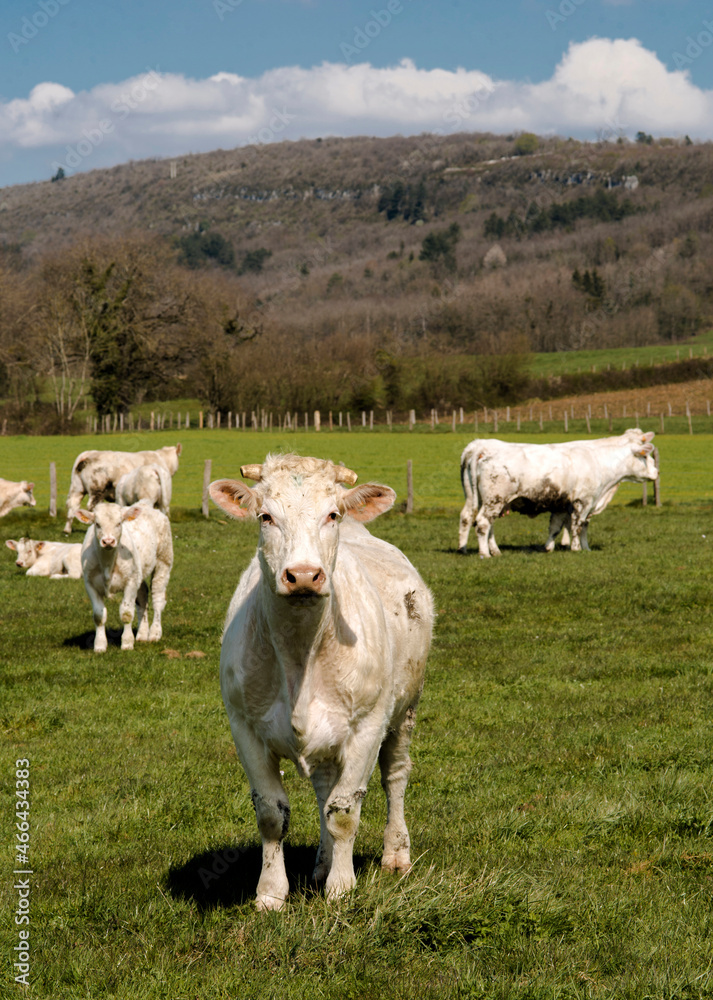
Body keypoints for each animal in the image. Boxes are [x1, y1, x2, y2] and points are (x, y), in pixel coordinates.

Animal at [73, 500, 172, 656]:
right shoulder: (90, 584)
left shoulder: (130, 582)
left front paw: (126, 643)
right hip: (139, 572)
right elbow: (99, 616)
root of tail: (144, 504)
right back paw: (142, 634)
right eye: (97, 524)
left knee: (158, 599)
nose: (108, 541)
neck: (107, 562)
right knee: (142, 597)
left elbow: (126, 613)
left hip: (164, 562)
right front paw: (99, 645)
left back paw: (154, 633)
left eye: (119, 523)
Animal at [210, 458, 434, 912]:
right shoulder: (244, 726)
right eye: (265, 516)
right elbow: (272, 814)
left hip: (405, 709)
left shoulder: (367, 726)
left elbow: (344, 812)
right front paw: (271, 893)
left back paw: (395, 854)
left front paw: (341, 888)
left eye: (331, 514)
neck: (300, 653)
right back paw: (321, 865)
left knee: (395, 777)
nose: (303, 575)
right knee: (322, 790)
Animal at [458, 432, 660, 556]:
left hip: (479, 499)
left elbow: (557, 527)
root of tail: (481, 446)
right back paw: (485, 553)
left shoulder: (563, 505)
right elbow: (578, 526)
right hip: (495, 499)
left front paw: (552, 547)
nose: (657, 471)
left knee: (469, 518)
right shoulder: (583, 502)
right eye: (645, 455)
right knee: (483, 523)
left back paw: (470, 549)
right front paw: (577, 549)